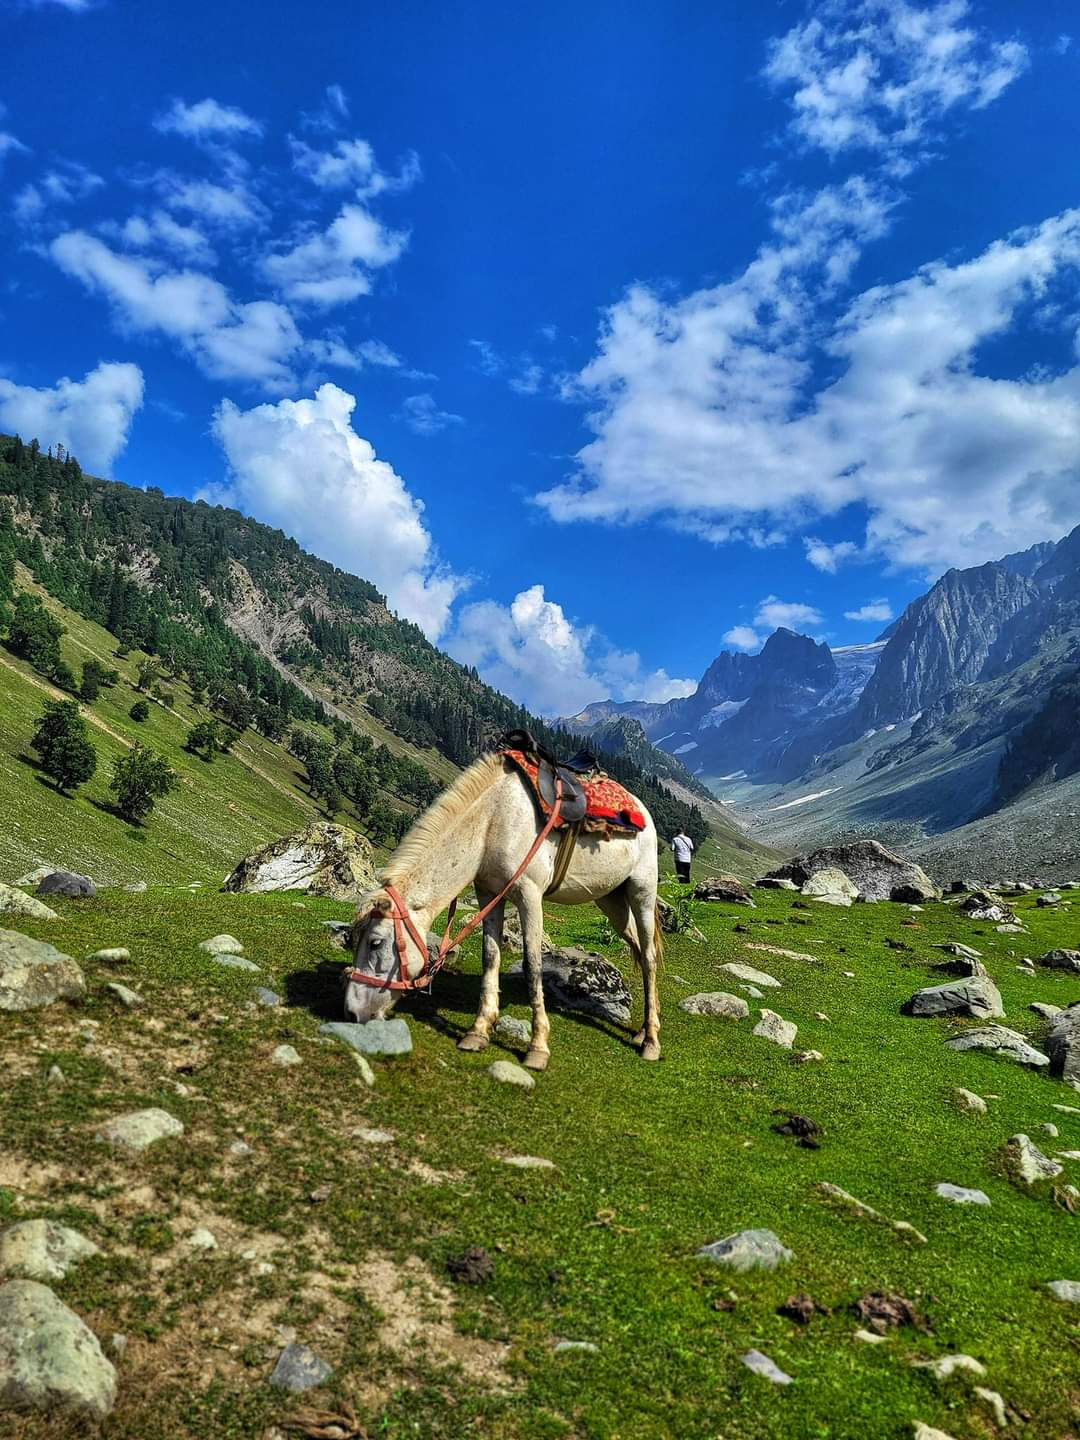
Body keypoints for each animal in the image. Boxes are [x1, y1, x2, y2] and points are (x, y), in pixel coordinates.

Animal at [351, 754, 665, 1071]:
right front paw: (478, 1031)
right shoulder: (488, 894)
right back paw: (643, 1031)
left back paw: (651, 1041)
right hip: (611, 902)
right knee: (638, 949)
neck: (492, 823)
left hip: (641, 891)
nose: (353, 1013)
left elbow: (533, 965)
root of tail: (644, 812)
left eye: (375, 942)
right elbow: (490, 956)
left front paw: (537, 1047)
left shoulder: (530, 896)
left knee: (649, 957)